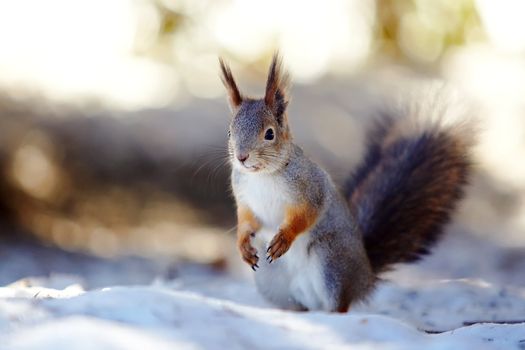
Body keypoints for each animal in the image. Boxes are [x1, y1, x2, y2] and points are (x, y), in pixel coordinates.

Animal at [219, 54, 472, 312]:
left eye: (269, 134)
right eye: (230, 133)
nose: (241, 157)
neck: (262, 176)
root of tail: (365, 277)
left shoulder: (311, 190)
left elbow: (306, 215)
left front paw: (284, 238)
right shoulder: (245, 199)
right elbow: (246, 221)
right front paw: (243, 245)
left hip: (331, 262)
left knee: (339, 305)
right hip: (273, 281)